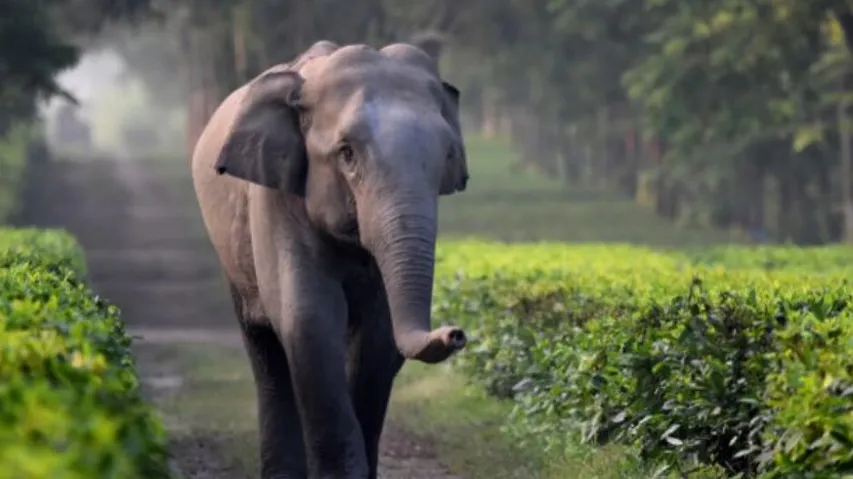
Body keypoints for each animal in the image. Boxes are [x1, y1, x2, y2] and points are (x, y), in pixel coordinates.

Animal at [190, 37, 469, 479]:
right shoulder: (276, 200)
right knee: (266, 350)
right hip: (233, 263)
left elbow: (379, 334)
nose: (455, 333)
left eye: (447, 156)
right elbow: (309, 319)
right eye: (347, 153)